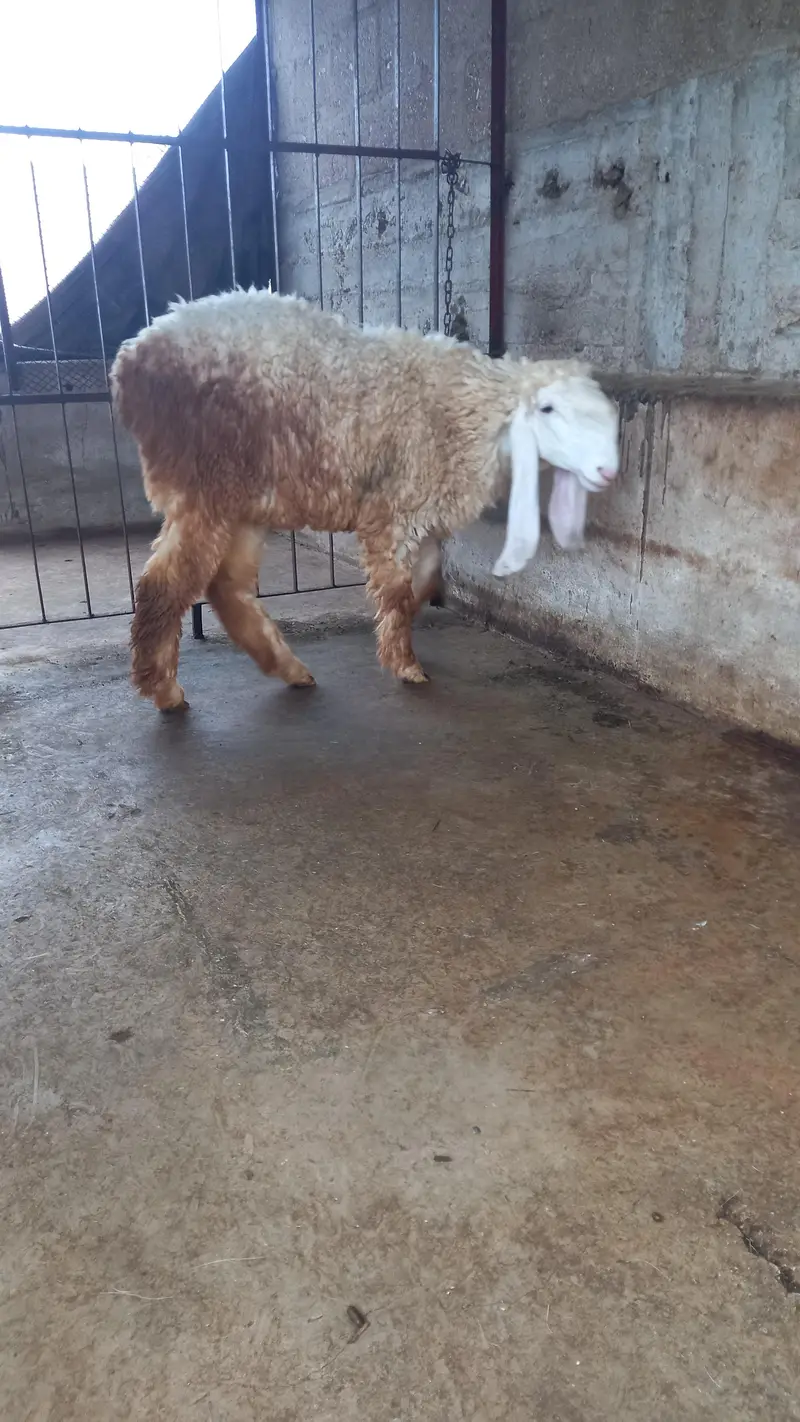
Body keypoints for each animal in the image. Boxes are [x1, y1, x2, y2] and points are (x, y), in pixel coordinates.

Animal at [111, 288, 619, 711]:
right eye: (548, 409)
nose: (607, 471)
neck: (471, 414)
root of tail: (130, 362)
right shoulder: (395, 508)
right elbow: (396, 589)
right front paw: (405, 663)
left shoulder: (422, 509)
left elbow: (427, 579)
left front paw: (405, 628)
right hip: (205, 484)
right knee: (163, 584)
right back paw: (164, 690)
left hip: (244, 499)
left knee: (226, 586)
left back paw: (287, 668)